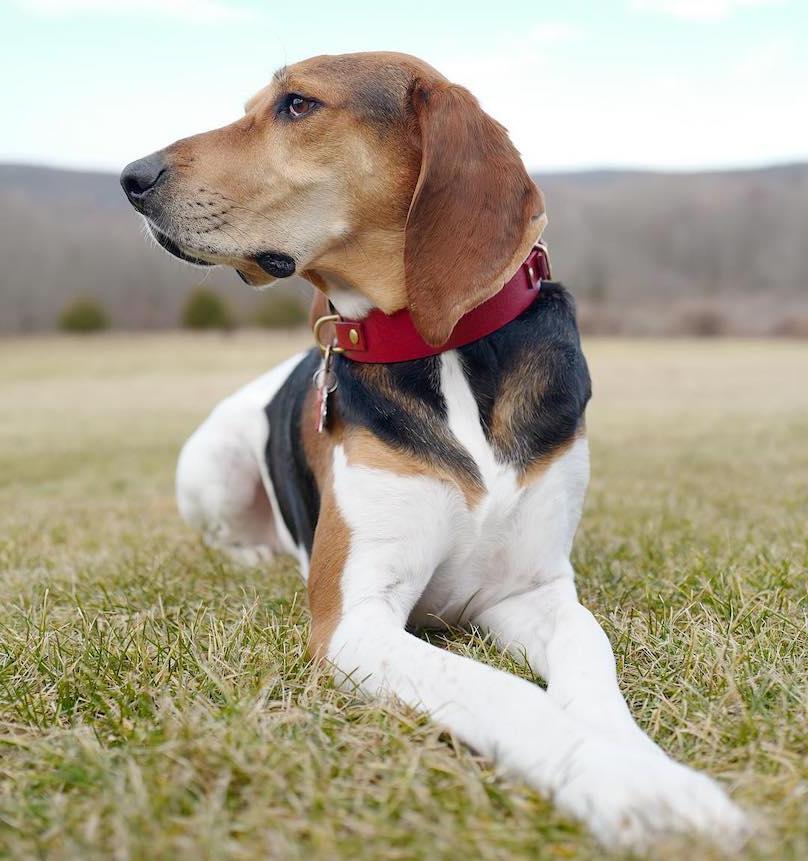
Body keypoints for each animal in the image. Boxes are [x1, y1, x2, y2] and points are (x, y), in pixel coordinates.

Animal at [121, 52, 752, 848]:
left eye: (297, 105)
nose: (131, 176)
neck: (437, 347)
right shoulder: (356, 620)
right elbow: (509, 695)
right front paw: (631, 788)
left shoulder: (531, 588)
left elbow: (589, 661)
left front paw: (645, 761)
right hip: (210, 463)